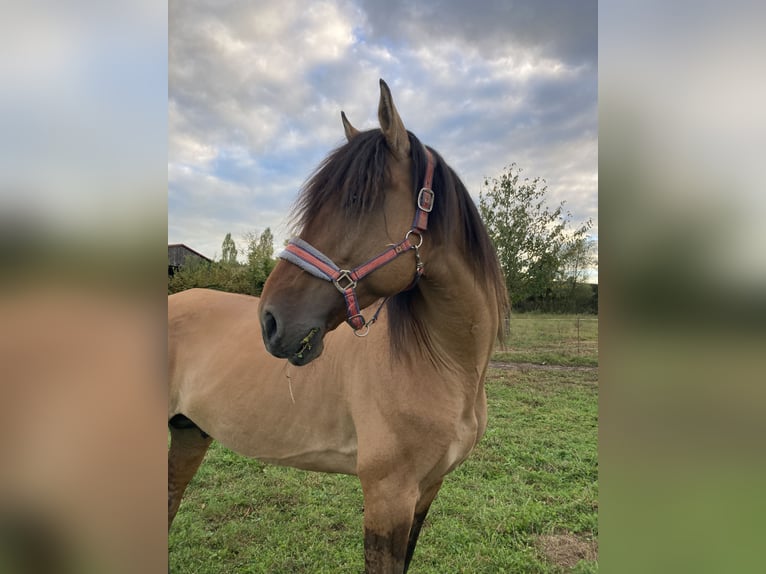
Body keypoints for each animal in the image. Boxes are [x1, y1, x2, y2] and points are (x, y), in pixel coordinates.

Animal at [171, 81, 512, 574]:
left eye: (356, 200)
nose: (270, 320)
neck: (447, 367)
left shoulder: (426, 492)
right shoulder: (388, 496)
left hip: (187, 434)